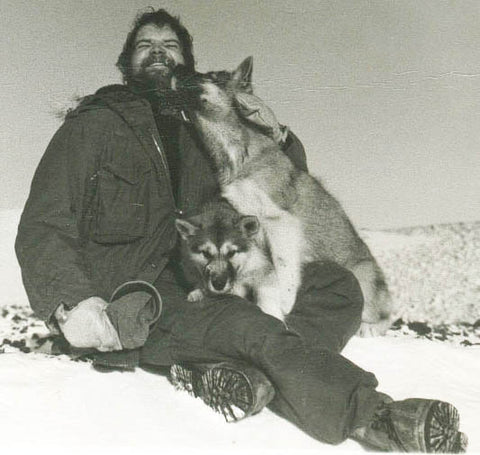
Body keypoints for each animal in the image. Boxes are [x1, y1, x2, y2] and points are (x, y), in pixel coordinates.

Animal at [172, 57, 394, 336]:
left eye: (209, 76)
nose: (175, 67)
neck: (238, 156)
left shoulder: (279, 220)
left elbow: (282, 266)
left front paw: (284, 301)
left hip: (364, 278)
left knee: (383, 314)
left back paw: (369, 328)